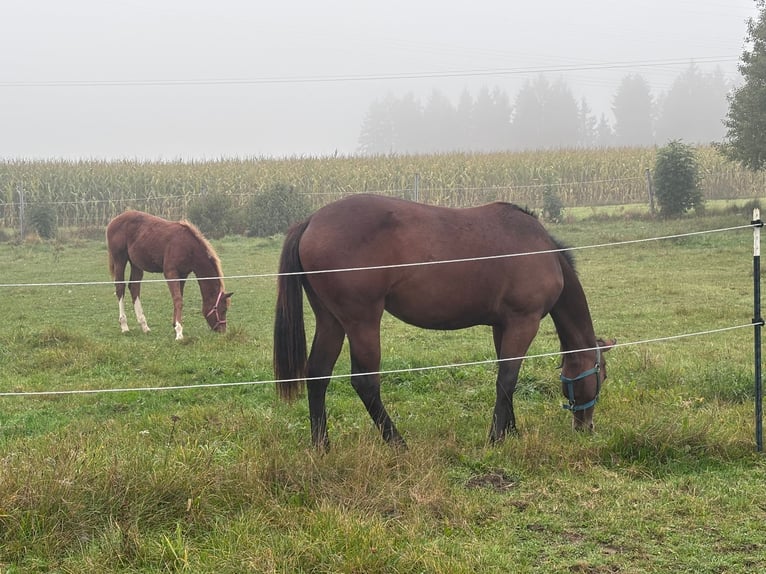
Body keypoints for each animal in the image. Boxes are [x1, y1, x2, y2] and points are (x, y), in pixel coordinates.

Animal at [106, 210, 232, 340]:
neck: (188, 246)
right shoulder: (171, 272)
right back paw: (124, 326)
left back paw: (144, 326)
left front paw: (175, 325)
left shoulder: (183, 274)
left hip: (136, 264)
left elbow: (179, 297)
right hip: (120, 259)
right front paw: (179, 332)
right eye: (223, 310)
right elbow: (178, 299)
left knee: (134, 288)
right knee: (120, 288)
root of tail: (113, 221)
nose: (223, 331)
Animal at [273, 194, 614, 449]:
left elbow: (507, 380)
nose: (586, 426)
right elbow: (507, 379)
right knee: (365, 382)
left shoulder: (502, 326)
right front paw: (495, 438)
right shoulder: (523, 323)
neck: (541, 250)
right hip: (362, 322)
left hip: (331, 321)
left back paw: (322, 445)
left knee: (318, 374)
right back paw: (397, 443)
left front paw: (511, 431)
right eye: (602, 376)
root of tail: (311, 221)